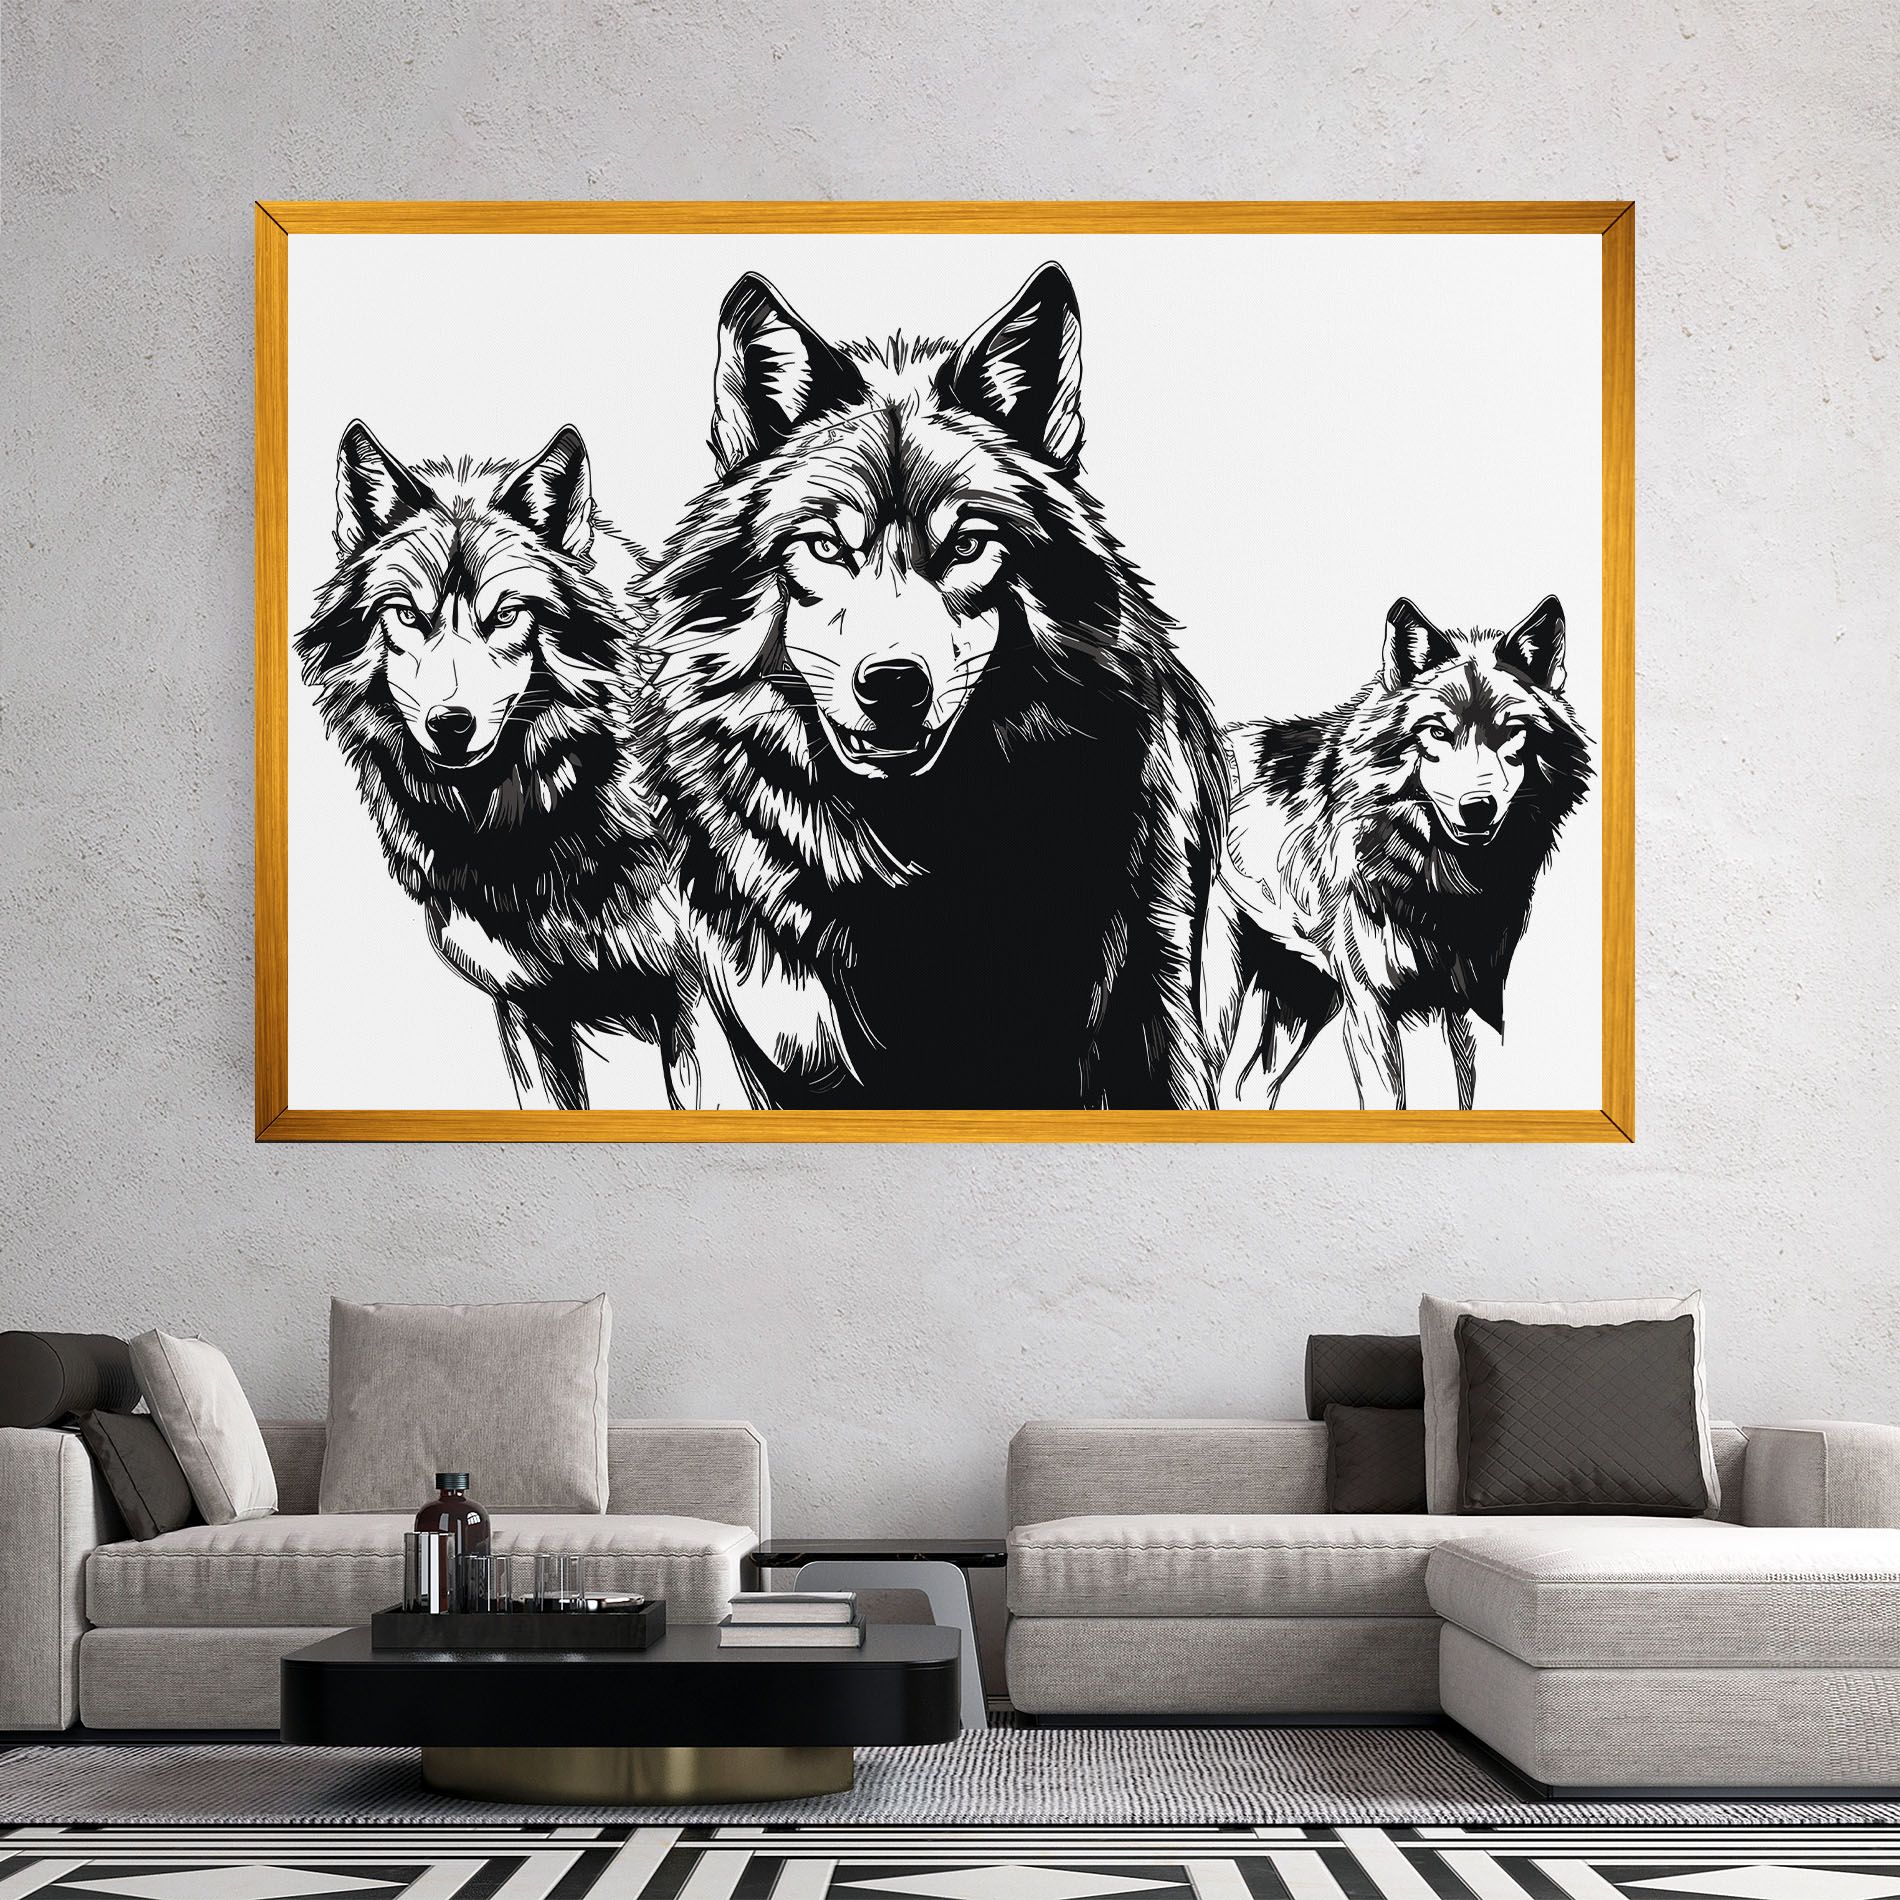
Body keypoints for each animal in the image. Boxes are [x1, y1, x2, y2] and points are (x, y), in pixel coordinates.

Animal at [1207, 596, 1592, 1110]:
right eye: (1436, 732)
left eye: (1510, 730)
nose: (1478, 808)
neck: (1445, 885)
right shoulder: (1371, 1008)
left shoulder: (1471, 1008)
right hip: (1219, 993)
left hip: (1305, 997)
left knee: (1248, 1084)